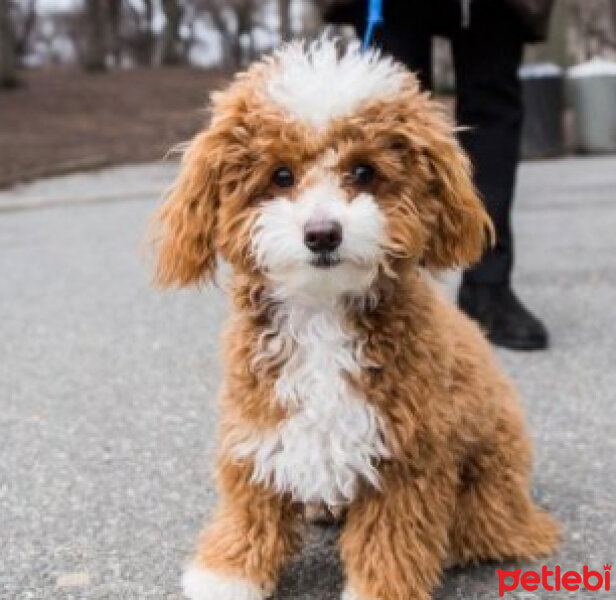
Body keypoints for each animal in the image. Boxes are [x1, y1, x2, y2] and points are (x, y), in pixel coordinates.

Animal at [152, 37, 560, 600]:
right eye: (281, 175)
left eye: (364, 171)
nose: (322, 233)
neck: (323, 313)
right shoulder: (259, 419)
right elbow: (250, 503)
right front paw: (227, 573)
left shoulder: (407, 454)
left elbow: (392, 538)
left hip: (489, 478)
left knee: (487, 527)